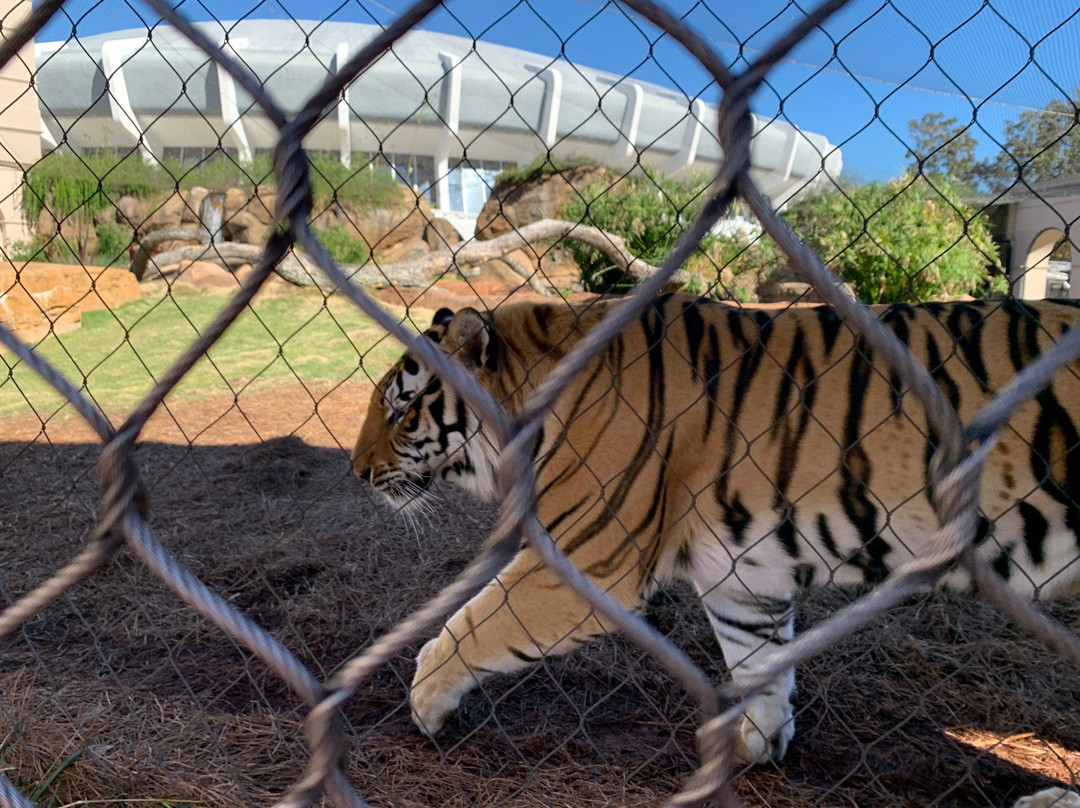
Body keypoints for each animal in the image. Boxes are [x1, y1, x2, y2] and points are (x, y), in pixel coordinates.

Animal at [352, 293, 1080, 769]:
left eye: (400, 410)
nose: (356, 472)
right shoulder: (745, 576)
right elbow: (758, 662)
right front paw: (757, 746)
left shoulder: (589, 559)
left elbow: (463, 629)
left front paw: (425, 706)